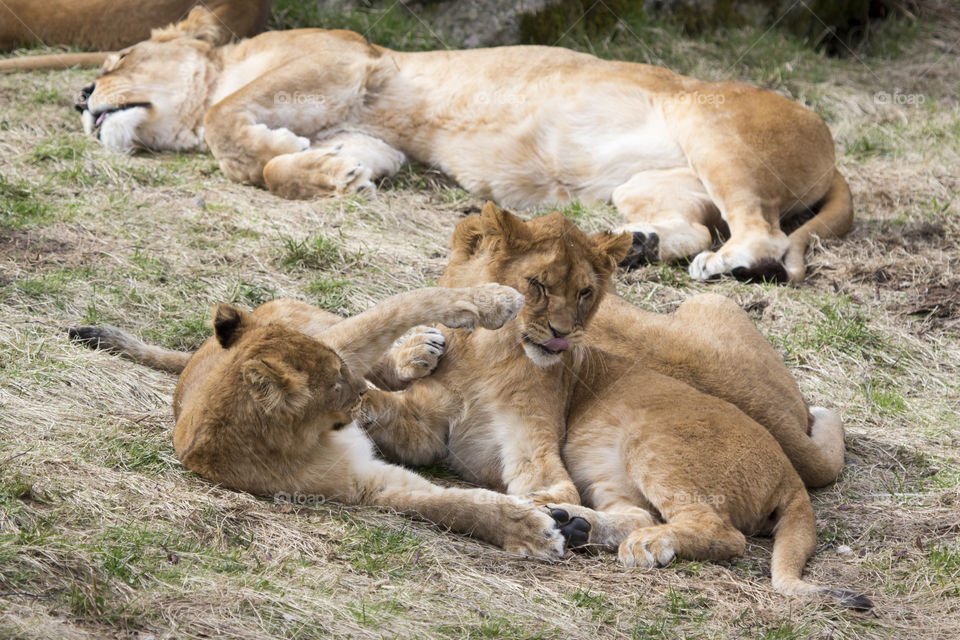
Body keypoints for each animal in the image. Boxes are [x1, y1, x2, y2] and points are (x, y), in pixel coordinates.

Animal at [69, 284, 590, 559]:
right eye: (337, 383)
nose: (359, 391)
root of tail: (200, 350)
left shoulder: (344, 345)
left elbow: (408, 301)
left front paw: (494, 300)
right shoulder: (364, 484)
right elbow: (450, 506)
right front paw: (533, 530)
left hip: (320, 323)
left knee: (386, 329)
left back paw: (417, 351)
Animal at [70, 7, 852, 283]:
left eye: (117, 59)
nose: (78, 97)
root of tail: (834, 149)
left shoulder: (344, 58)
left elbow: (225, 125)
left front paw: (275, 146)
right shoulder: (366, 126)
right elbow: (281, 165)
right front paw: (334, 174)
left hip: (710, 128)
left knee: (760, 233)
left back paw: (727, 265)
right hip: (650, 183)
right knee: (690, 226)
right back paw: (636, 247)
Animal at [355, 203, 870, 607]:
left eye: (585, 292)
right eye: (538, 284)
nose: (562, 334)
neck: (487, 355)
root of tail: (789, 475)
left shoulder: (535, 448)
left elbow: (544, 485)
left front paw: (533, 510)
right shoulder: (425, 428)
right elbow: (384, 406)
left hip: (658, 440)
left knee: (723, 533)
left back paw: (638, 541)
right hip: (610, 467)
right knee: (639, 512)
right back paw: (579, 526)